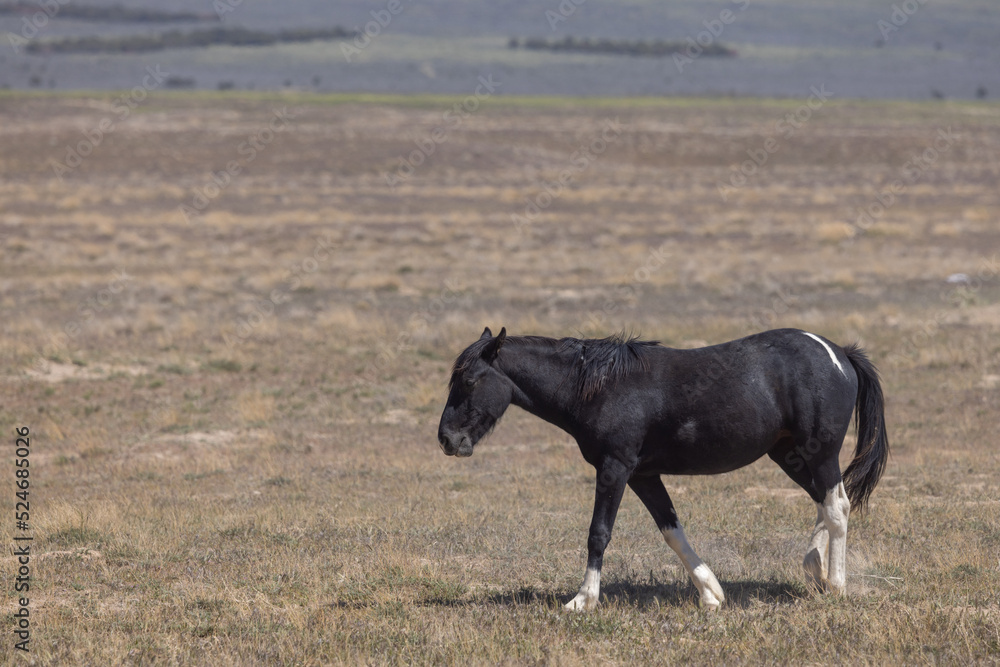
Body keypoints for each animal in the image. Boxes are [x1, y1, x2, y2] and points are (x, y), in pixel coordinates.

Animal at [437, 327, 889, 611]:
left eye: (471, 381)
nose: (446, 439)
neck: (600, 388)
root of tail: (839, 353)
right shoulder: (642, 475)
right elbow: (671, 530)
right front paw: (711, 594)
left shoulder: (614, 468)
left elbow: (598, 534)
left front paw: (582, 600)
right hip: (789, 454)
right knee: (824, 502)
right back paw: (814, 568)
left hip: (820, 453)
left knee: (837, 507)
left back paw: (836, 584)